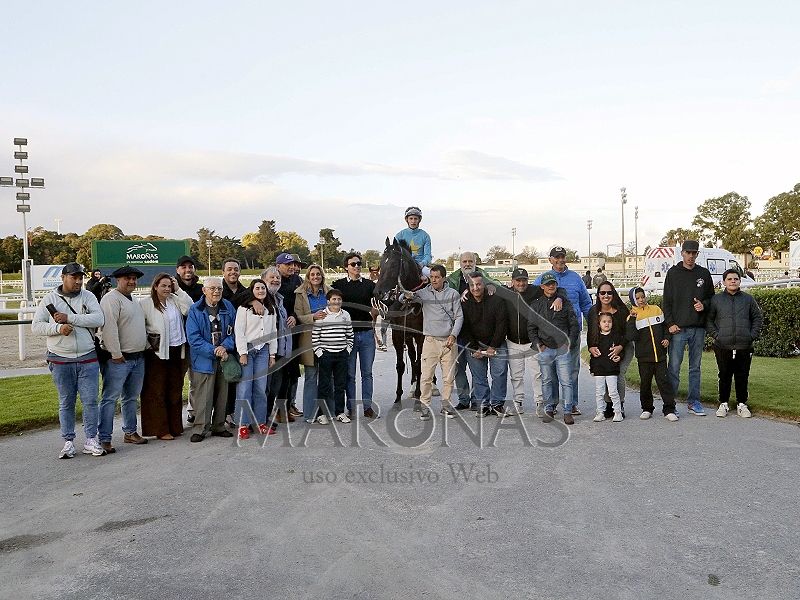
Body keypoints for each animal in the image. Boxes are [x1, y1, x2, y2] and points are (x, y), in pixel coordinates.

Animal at [373, 237, 426, 410]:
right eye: (381, 264)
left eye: (392, 265)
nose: (377, 292)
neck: (409, 301)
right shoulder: (398, 333)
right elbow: (401, 365)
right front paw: (398, 398)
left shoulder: (421, 335)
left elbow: (419, 364)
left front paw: (419, 398)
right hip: (407, 336)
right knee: (411, 355)